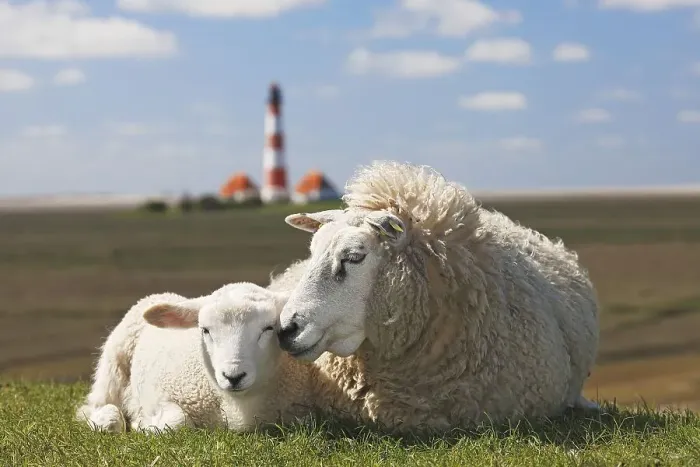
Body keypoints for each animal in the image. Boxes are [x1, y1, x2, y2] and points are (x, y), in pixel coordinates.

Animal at [76, 281, 315, 433]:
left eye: (268, 328)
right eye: (205, 330)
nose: (233, 376)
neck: (236, 406)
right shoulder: (158, 394)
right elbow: (177, 423)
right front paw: (142, 424)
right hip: (113, 364)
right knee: (95, 405)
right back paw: (108, 420)